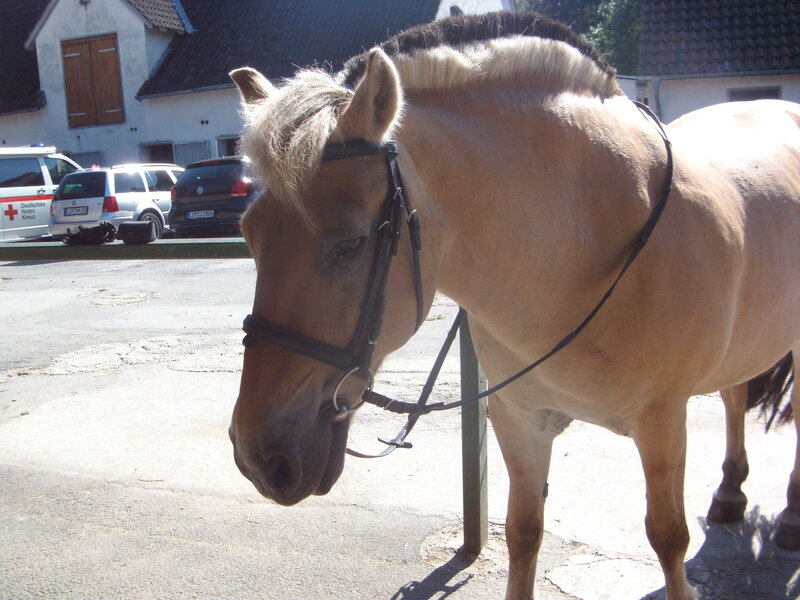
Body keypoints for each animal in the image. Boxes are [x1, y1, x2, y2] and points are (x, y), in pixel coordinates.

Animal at [227, 12, 799, 600]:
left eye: (351, 243)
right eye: (249, 235)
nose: (259, 457)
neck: (585, 242)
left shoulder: (663, 421)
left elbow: (668, 538)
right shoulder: (520, 418)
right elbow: (523, 531)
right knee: (734, 393)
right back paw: (730, 493)